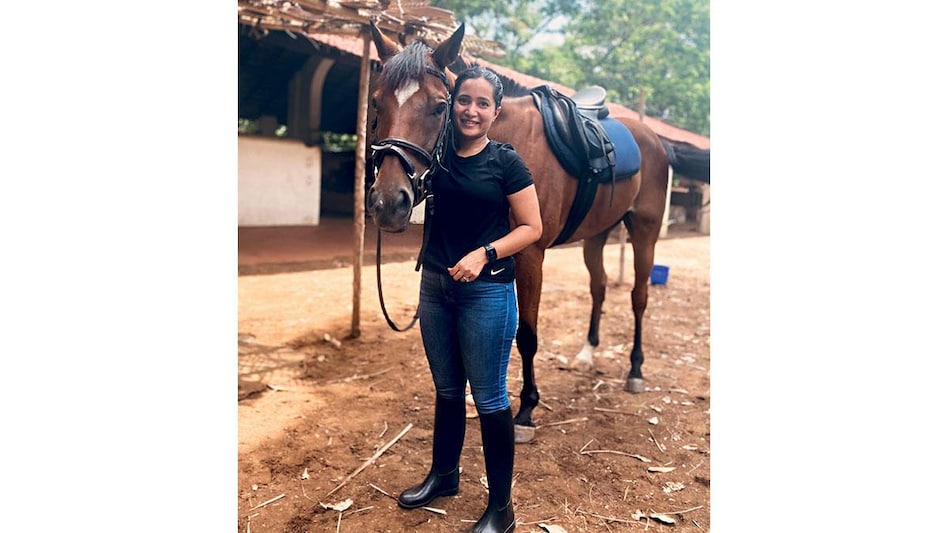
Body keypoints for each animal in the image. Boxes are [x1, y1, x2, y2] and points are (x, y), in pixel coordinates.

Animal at [365, 22, 710, 443]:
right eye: (378, 104)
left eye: (439, 106)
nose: (388, 202)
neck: (503, 138)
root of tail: (657, 142)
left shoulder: (530, 254)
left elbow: (526, 334)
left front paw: (527, 409)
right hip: (596, 234)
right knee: (599, 286)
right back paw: (587, 353)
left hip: (645, 233)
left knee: (638, 297)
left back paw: (635, 369)